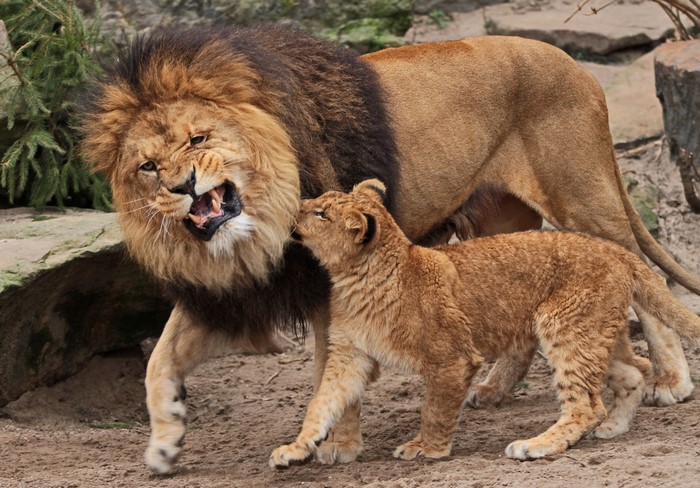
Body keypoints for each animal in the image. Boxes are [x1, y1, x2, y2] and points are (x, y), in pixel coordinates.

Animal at [269, 179, 700, 467]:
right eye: (318, 203)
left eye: (321, 214)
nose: (296, 207)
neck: (355, 278)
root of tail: (617, 251)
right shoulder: (350, 354)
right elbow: (321, 403)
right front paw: (295, 449)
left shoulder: (453, 358)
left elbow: (436, 408)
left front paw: (427, 448)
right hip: (592, 332)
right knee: (634, 371)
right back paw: (614, 426)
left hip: (563, 326)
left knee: (585, 404)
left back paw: (537, 445)